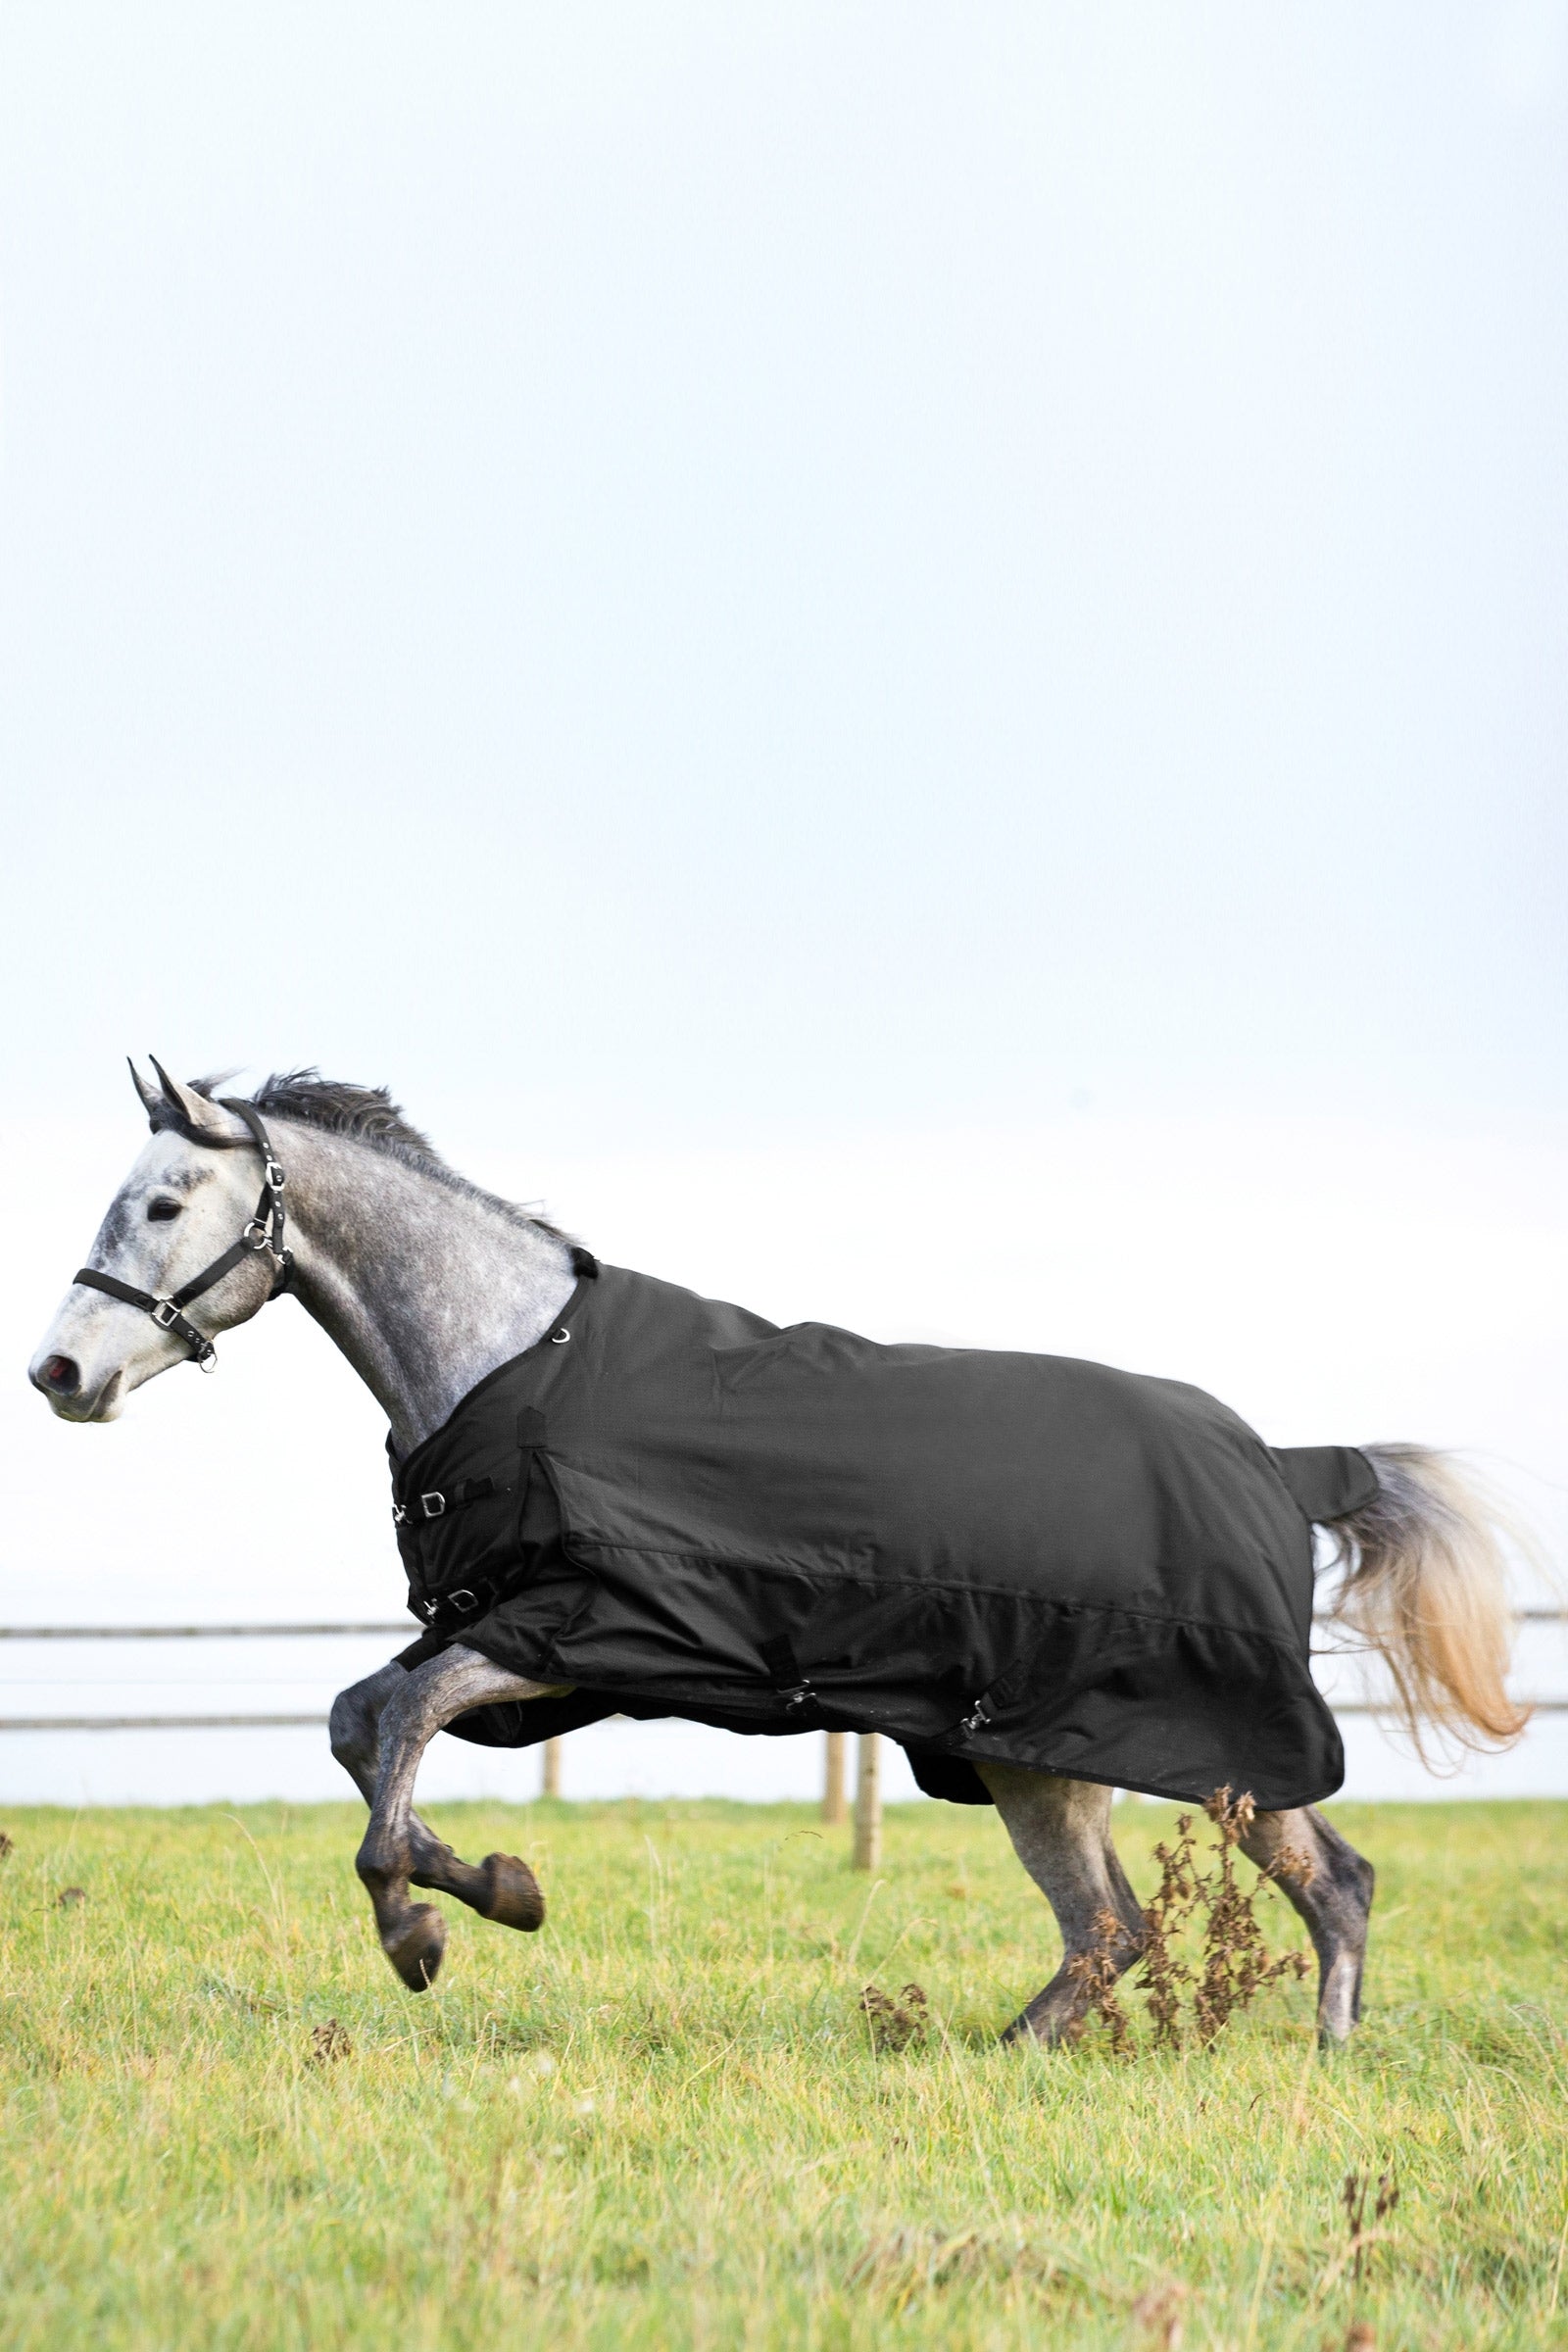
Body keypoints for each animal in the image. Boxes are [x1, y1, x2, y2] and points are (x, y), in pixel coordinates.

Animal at [28, 1060, 1527, 2046]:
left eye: (162, 1204)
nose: (59, 1373)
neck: (513, 1359)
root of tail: (1281, 1461)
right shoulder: (515, 1631)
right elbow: (359, 1720)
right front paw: (496, 1888)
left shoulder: (580, 1630)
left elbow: (397, 1724)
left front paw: (426, 1928)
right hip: (1049, 1757)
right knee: (1189, 1912)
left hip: (1148, 1746)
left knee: (1232, 1902)